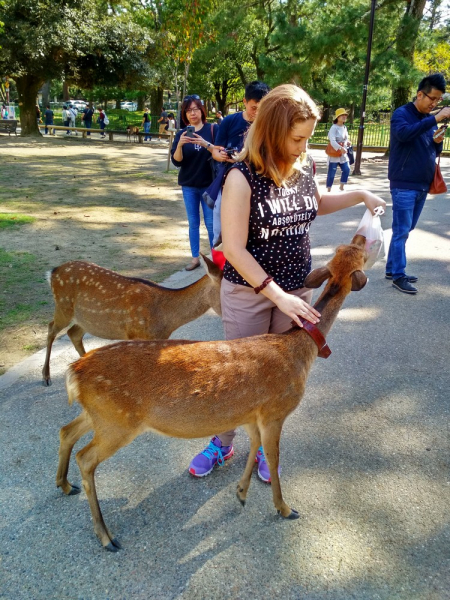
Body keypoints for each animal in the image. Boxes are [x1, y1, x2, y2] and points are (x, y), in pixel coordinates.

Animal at [43, 253, 222, 384]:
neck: (164, 319)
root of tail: (52, 272)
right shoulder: (135, 335)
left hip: (86, 319)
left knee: (73, 333)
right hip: (63, 307)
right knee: (51, 328)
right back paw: (46, 376)